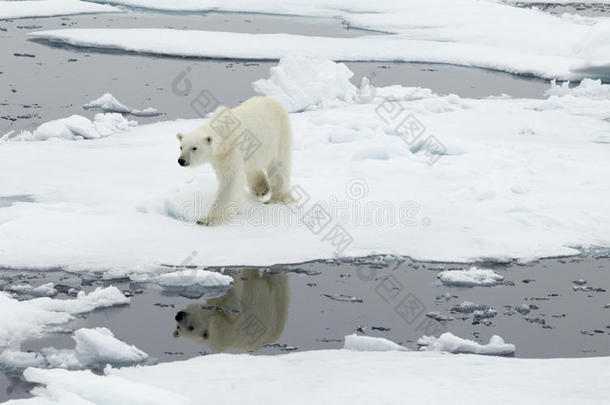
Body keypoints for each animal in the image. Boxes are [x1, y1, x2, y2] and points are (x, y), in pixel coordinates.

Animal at [176, 96, 292, 226]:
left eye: (194, 148)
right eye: (181, 147)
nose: (181, 160)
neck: (223, 131)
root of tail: (273, 100)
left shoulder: (231, 151)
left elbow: (230, 182)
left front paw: (206, 220)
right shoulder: (219, 157)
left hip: (279, 135)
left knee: (279, 166)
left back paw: (275, 198)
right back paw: (262, 188)